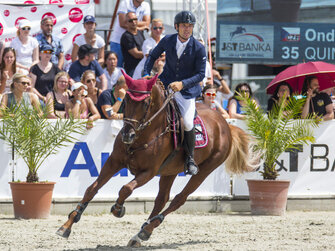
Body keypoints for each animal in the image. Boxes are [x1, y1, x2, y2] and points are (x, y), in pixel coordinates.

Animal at [56, 75, 256, 247]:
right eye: (125, 100)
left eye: (145, 103)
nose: (127, 135)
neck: (143, 135)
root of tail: (225, 124)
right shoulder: (113, 162)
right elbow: (92, 189)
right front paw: (67, 225)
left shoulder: (149, 172)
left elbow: (125, 188)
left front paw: (118, 209)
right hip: (170, 171)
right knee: (161, 199)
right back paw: (141, 233)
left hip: (205, 170)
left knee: (178, 199)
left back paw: (148, 228)